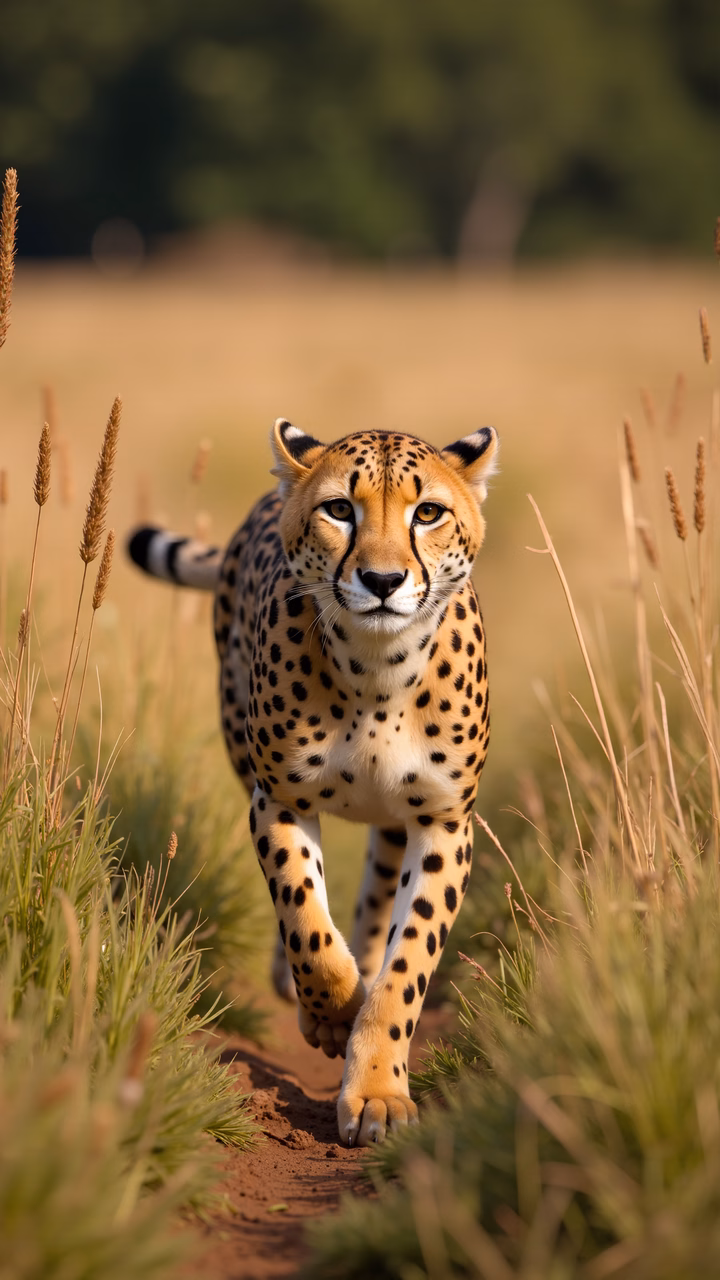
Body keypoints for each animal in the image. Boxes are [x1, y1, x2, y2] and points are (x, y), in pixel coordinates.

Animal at [127, 417, 499, 1146]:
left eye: (428, 513)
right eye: (339, 510)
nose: (382, 579)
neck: (378, 672)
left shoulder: (444, 823)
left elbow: (408, 963)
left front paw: (378, 1089)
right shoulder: (279, 799)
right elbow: (306, 920)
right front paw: (332, 1011)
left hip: (395, 821)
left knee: (378, 892)